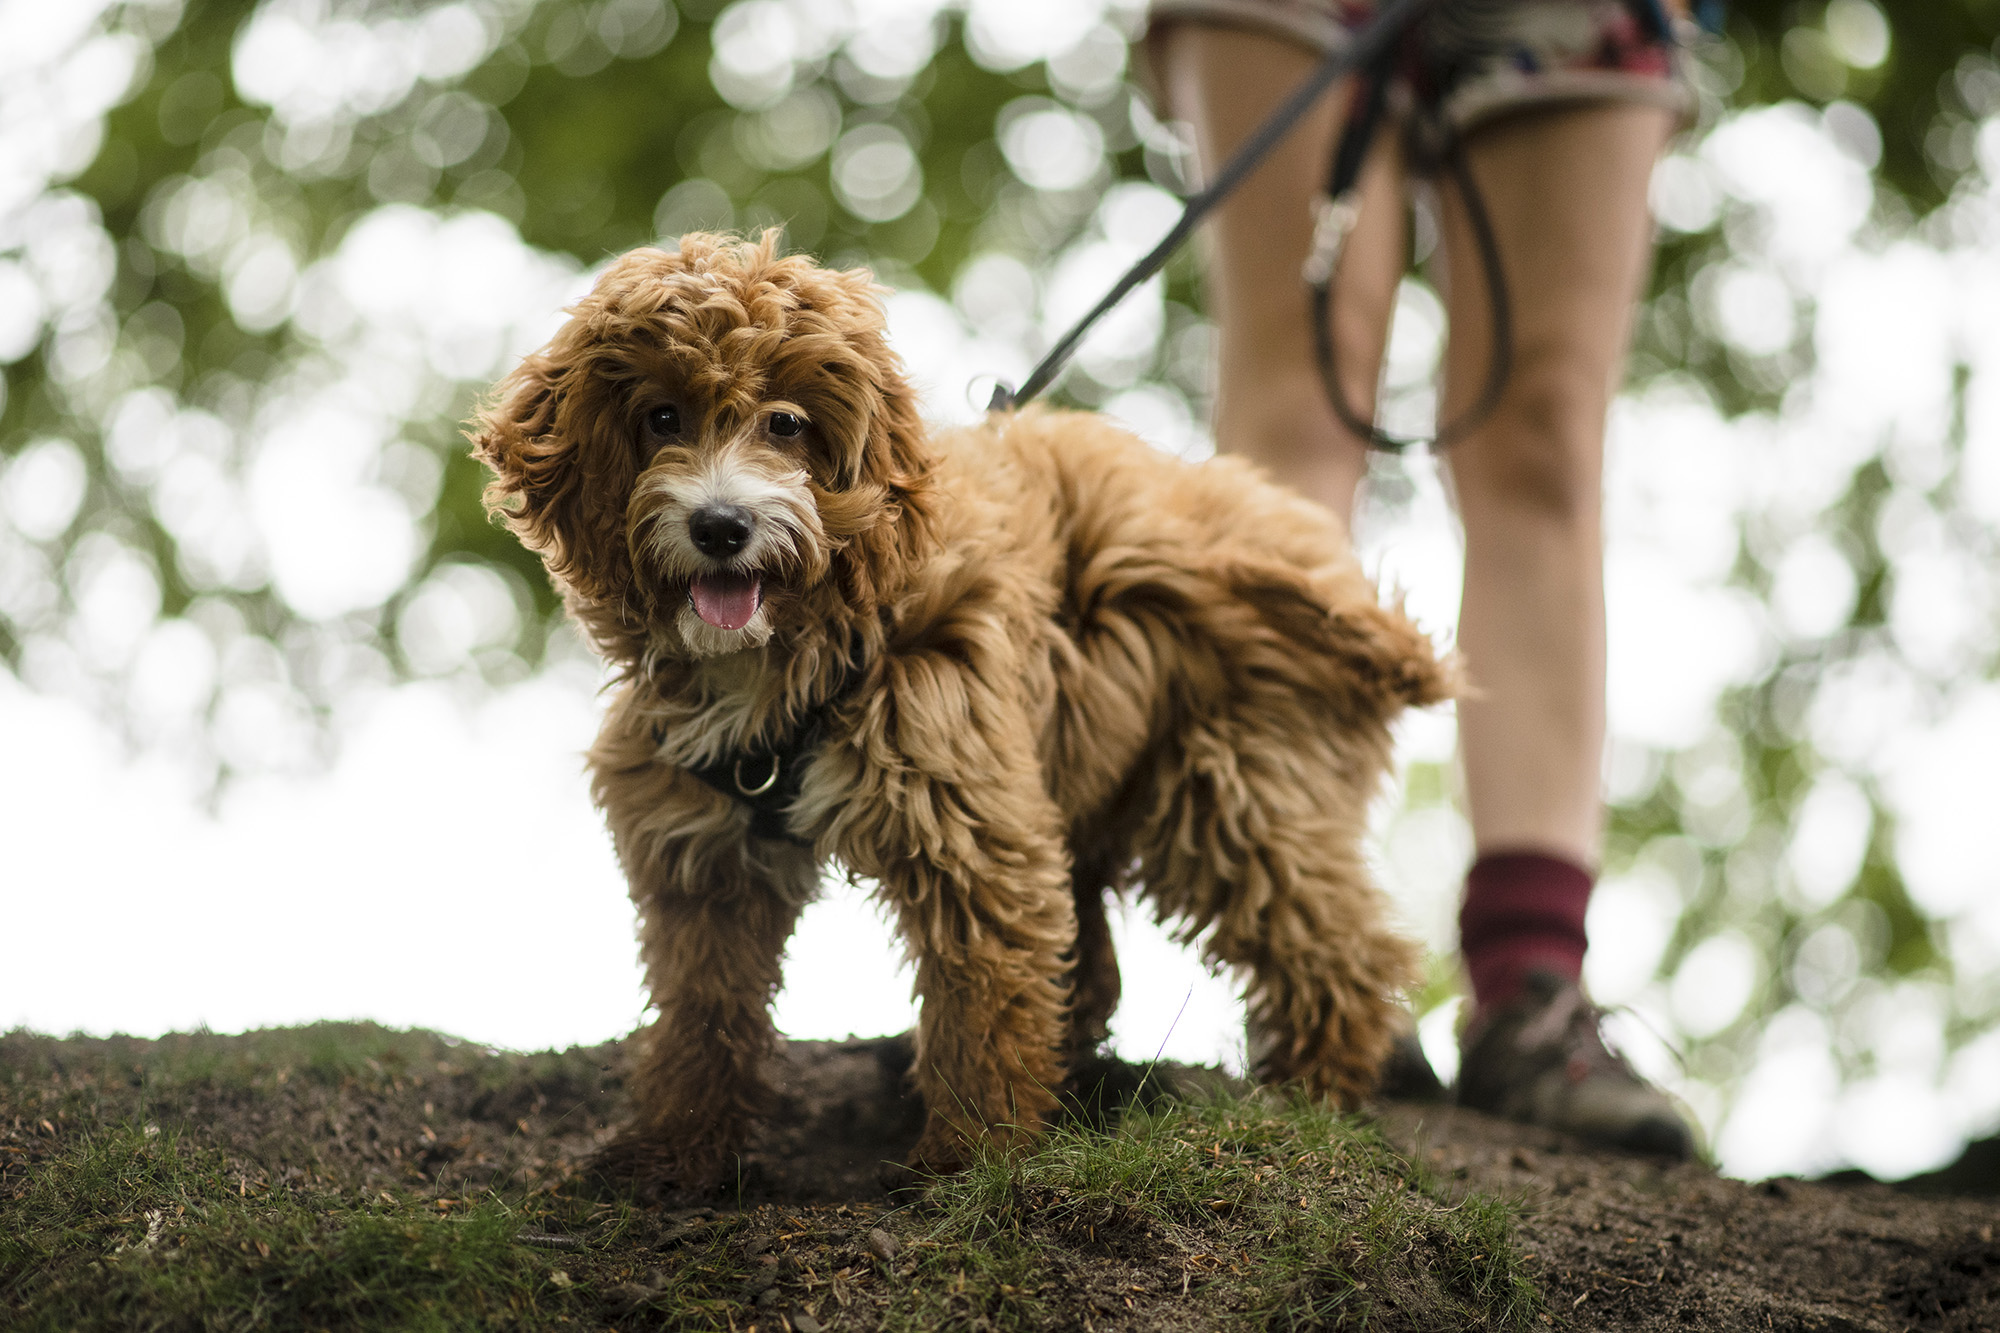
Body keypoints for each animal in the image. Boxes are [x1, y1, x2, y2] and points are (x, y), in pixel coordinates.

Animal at [476, 231, 1448, 1192]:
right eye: (662, 418)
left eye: (786, 423)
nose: (721, 527)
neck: (799, 642)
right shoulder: (702, 856)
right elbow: (703, 1007)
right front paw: (679, 1147)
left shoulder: (965, 814)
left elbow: (983, 991)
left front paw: (972, 1154)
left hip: (1237, 776)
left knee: (1336, 946)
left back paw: (1308, 1095)